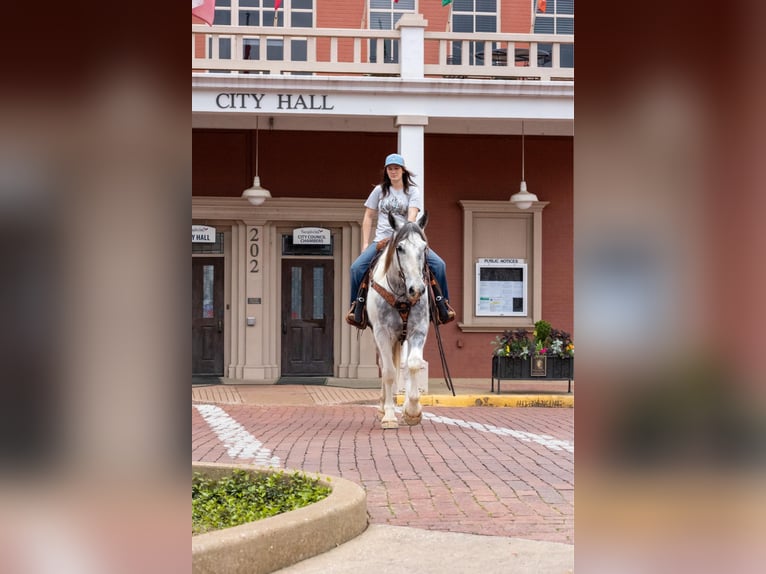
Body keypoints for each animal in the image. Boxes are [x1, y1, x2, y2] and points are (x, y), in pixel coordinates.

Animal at [368, 214, 428, 430]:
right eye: (400, 248)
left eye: (424, 247)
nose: (417, 289)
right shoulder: (382, 333)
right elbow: (388, 372)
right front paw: (389, 416)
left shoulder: (418, 330)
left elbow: (413, 365)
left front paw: (412, 411)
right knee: (386, 368)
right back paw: (382, 406)